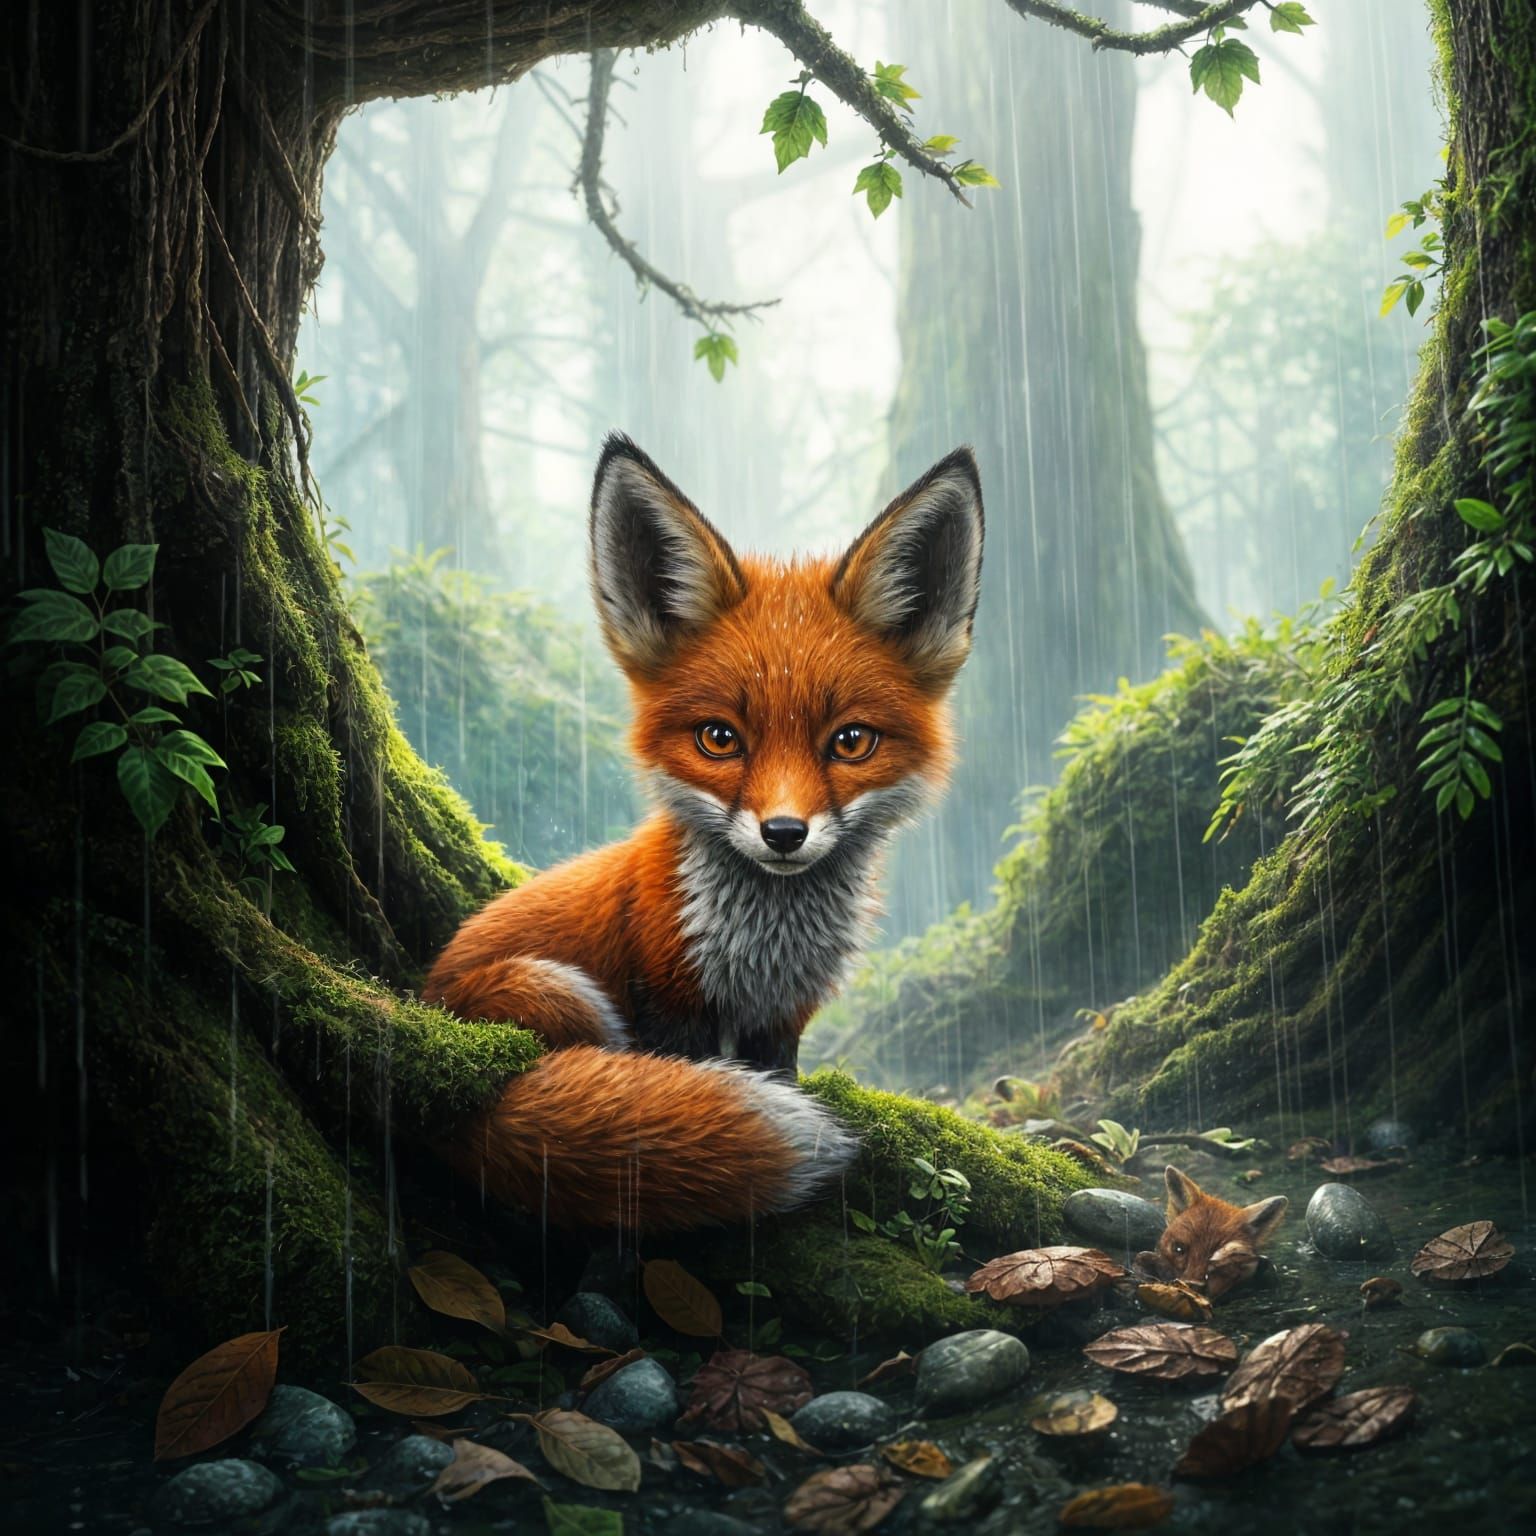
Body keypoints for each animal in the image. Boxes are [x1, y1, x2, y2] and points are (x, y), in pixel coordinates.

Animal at [424, 432, 985, 1233]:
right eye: (720, 739)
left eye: (850, 743)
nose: (784, 832)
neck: (765, 947)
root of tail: (455, 1100)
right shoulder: (668, 998)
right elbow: (681, 1075)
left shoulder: (783, 1017)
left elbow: (778, 1071)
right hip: (557, 991)